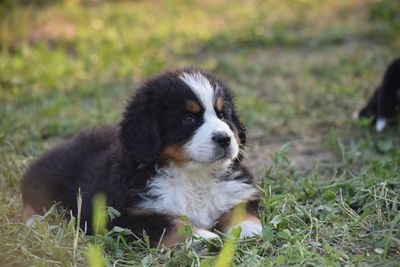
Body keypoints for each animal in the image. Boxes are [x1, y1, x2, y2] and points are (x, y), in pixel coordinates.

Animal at [22, 68, 266, 247]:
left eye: (222, 115)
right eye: (188, 119)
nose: (224, 139)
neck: (193, 177)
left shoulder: (237, 191)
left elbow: (240, 210)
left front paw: (247, 230)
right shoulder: (121, 216)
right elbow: (169, 223)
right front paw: (202, 237)